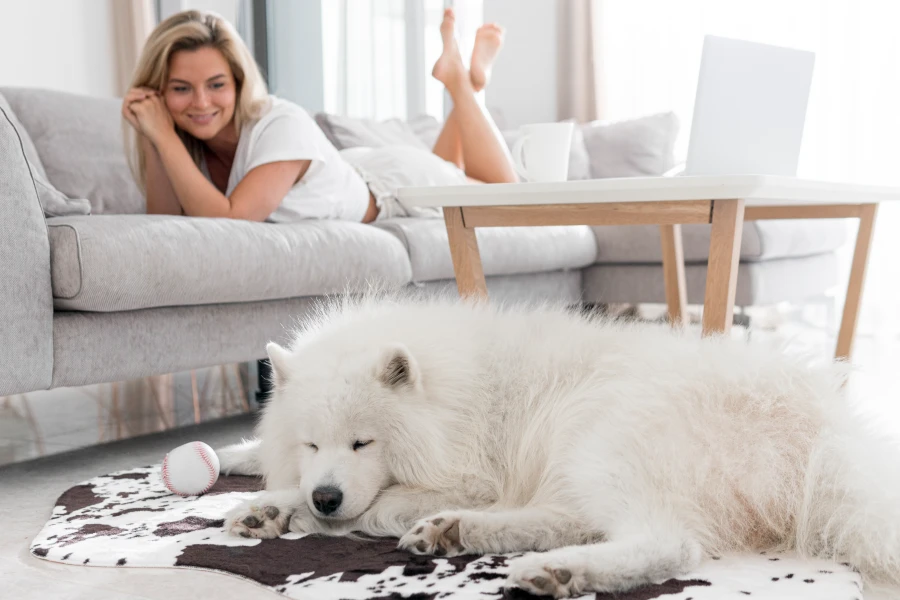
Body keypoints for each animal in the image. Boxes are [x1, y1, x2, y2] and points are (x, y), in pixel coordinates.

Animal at [220, 294, 900, 596]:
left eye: (363, 442)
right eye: (311, 443)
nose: (326, 497)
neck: (452, 395)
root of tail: (820, 429)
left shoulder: (473, 475)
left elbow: (380, 504)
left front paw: (296, 512)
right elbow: (255, 458)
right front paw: (252, 486)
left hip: (602, 432)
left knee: (668, 543)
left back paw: (556, 570)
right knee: (574, 519)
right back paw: (460, 533)